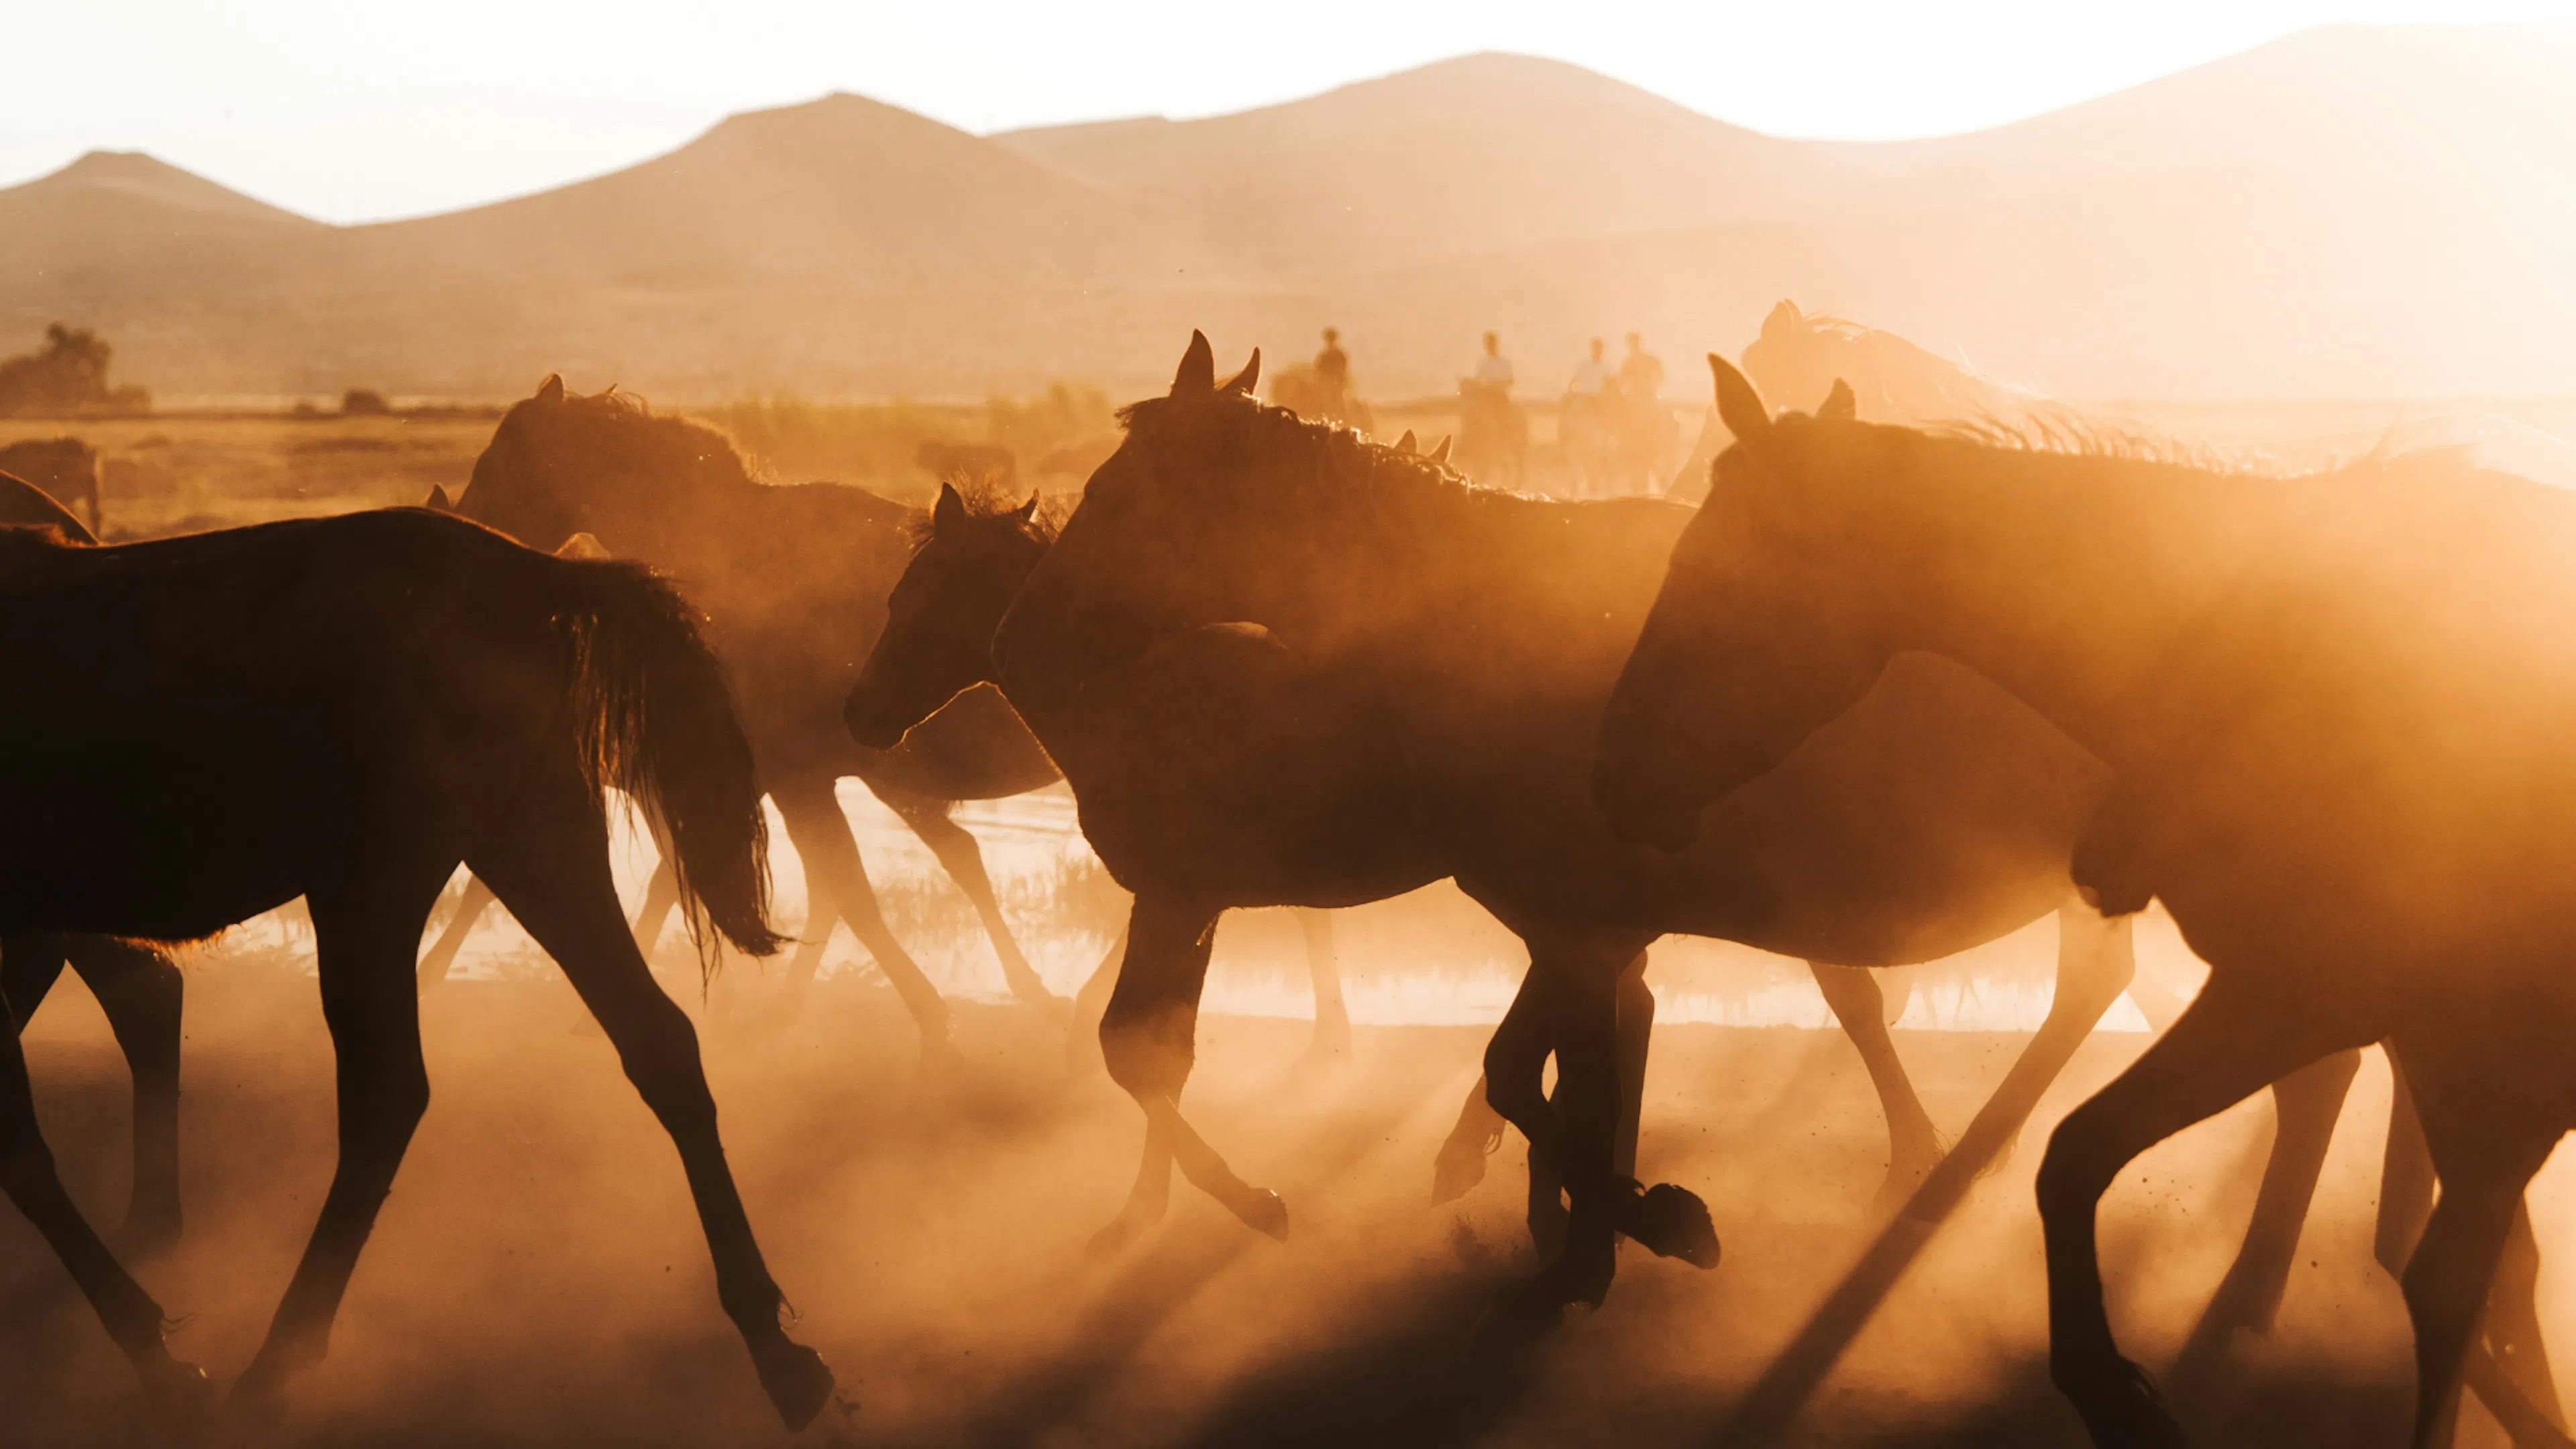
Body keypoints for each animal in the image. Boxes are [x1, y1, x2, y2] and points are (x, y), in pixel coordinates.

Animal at [0, 506, 830, 1426]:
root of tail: (533, 575)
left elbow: (19, 1147)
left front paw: (160, 1357)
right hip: (535, 841)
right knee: (659, 1044)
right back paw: (775, 1346)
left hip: (371, 883)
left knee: (384, 1095)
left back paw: (277, 1360)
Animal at [854, 332, 2196, 1320]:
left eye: (1123, 492)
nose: (1023, 636)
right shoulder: (1567, 925)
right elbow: (1557, 1074)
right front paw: (1580, 1239)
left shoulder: (1558, 922)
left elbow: (1519, 1072)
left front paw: (1640, 1221)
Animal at [1597, 354, 2576, 1448]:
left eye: (1711, 571)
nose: (1614, 767)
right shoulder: (2316, 1009)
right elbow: (2077, 1157)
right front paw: (2115, 1391)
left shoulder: (2454, 1057)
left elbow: (2453, 1287)